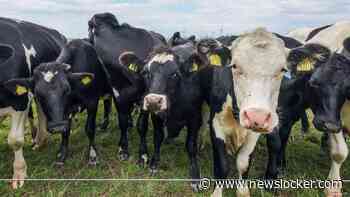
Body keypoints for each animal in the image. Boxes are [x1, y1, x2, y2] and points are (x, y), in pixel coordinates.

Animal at [89, 11, 167, 160]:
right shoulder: (118, 93)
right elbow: (122, 121)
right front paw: (123, 148)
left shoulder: (144, 97)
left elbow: (142, 125)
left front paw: (143, 154)